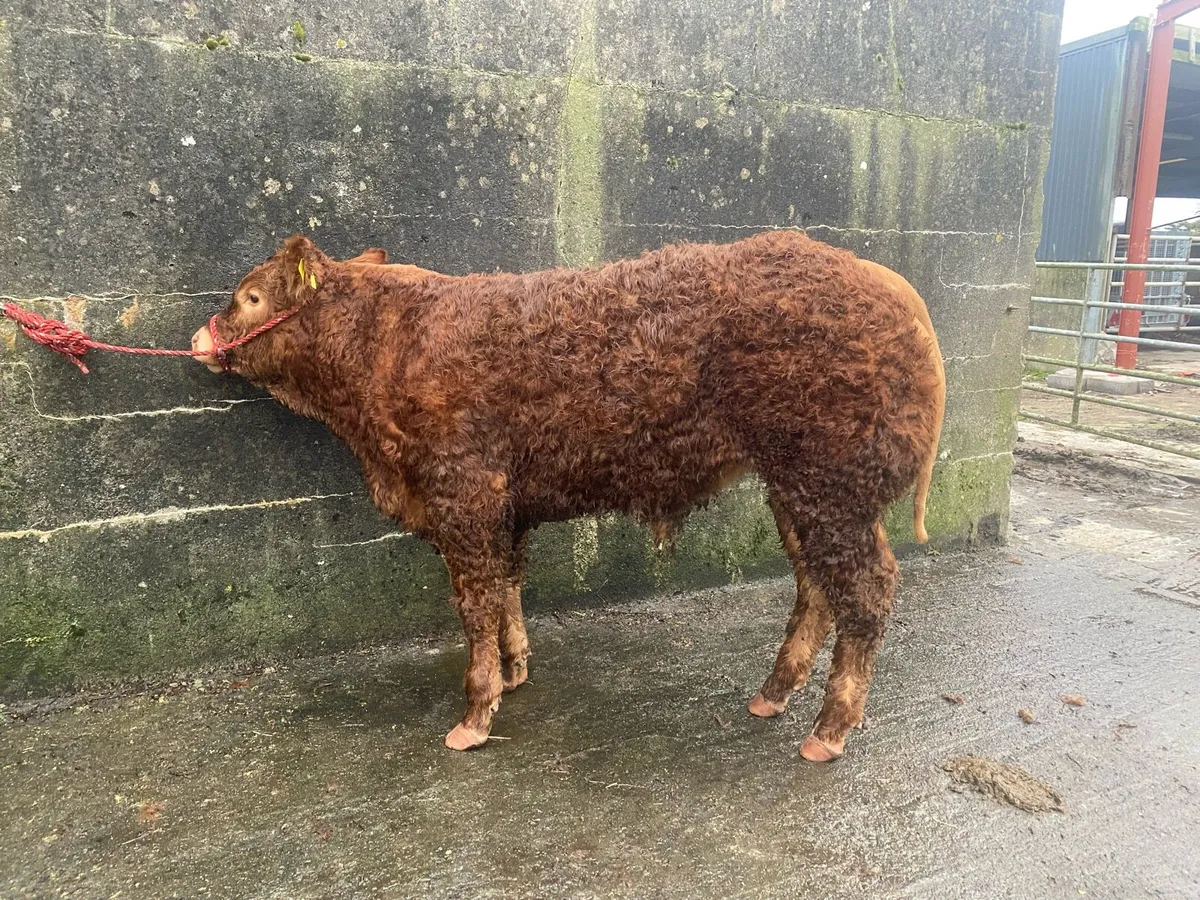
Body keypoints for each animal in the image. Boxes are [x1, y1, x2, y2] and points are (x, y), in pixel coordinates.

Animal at [191, 230, 946, 762]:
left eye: (250, 297)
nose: (199, 337)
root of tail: (894, 287)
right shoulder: (506, 504)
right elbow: (507, 585)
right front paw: (516, 669)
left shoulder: (464, 489)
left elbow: (473, 600)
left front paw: (473, 716)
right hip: (795, 484)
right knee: (815, 584)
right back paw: (772, 697)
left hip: (832, 481)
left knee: (866, 588)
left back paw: (828, 730)